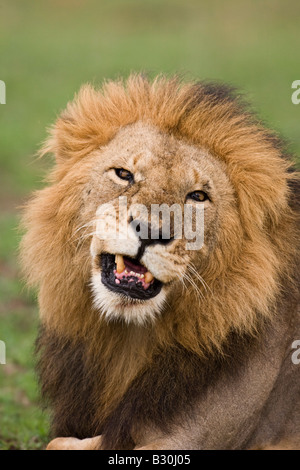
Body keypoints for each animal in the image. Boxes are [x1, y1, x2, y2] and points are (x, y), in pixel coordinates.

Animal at [19, 75, 298, 450]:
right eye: (124, 174)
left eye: (198, 196)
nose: (150, 230)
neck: (131, 337)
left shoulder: (192, 438)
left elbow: (65, 443)